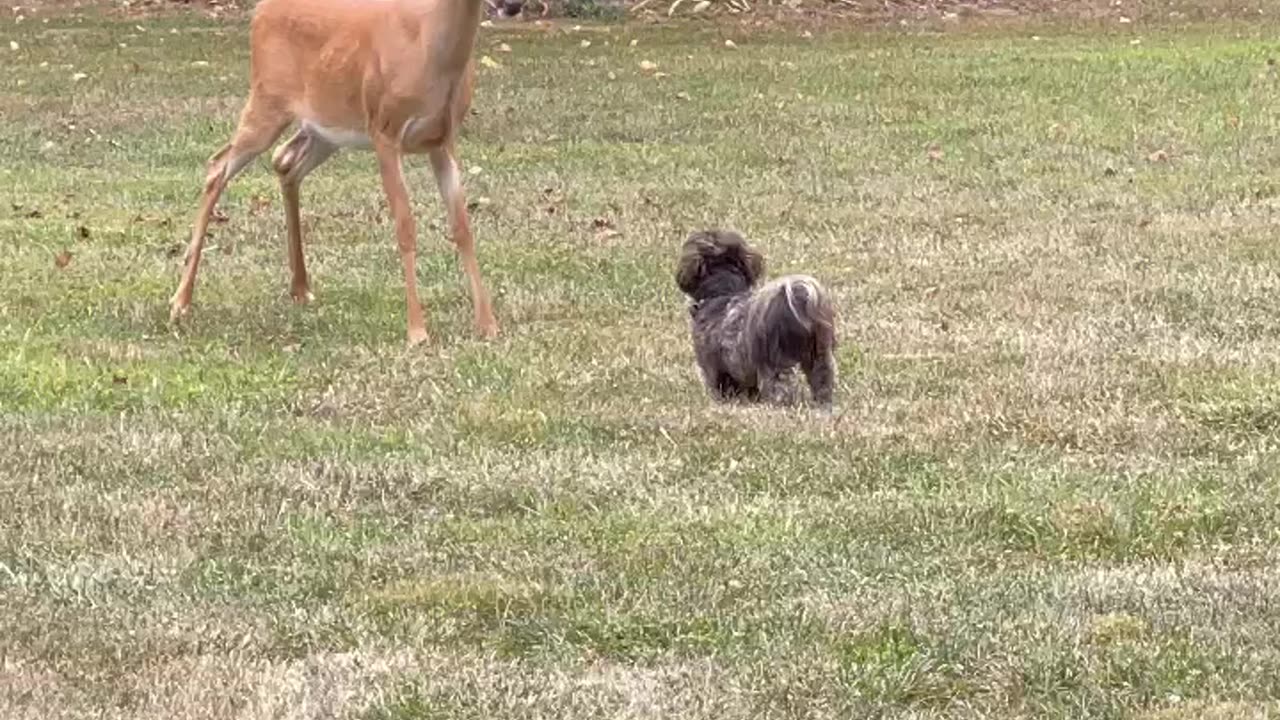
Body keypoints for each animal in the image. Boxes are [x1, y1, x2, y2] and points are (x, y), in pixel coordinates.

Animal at [167, 0, 506, 345]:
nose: (512, 6)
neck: (427, 49)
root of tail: (261, 10)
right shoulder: (384, 132)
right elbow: (405, 227)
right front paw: (417, 331)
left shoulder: (443, 141)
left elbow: (462, 227)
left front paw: (488, 325)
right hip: (267, 100)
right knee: (217, 166)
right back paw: (181, 301)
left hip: (326, 128)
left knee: (285, 161)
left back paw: (300, 288)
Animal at [670, 229, 839, 409]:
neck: (723, 293)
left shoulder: (713, 368)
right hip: (818, 355)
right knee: (822, 378)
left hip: (775, 364)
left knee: (780, 388)